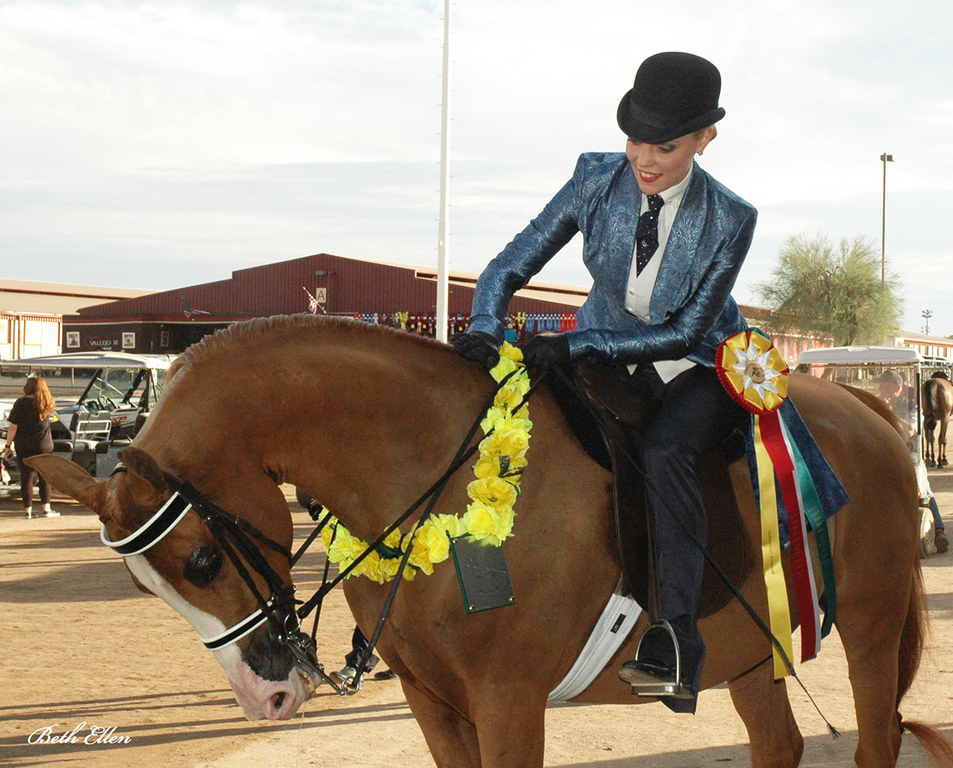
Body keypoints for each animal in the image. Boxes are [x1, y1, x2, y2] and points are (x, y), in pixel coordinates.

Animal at [27, 315, 953, 768]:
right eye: (144, 588)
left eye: (202, 559)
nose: (268, 701)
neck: (431, 467)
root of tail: (867, 408)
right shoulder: (432, 702)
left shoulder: (509, 702)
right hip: (747, 647)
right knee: (779, 746)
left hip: (869, 632)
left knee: (873, 743)